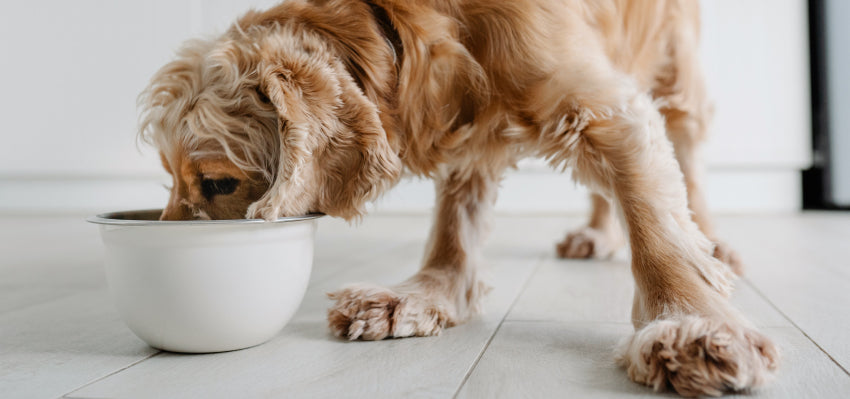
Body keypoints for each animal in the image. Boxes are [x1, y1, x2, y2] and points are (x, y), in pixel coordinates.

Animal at [137, 0, 776, 396]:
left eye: (218, 183)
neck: (400, 28)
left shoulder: (601, 103)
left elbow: (656, 223)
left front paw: (690, 325)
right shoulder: (472, 129)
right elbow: (455, 226)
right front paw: (418, 296)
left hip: (675, 67)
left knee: (688, 155)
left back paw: (715, 243)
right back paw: (595, 234)